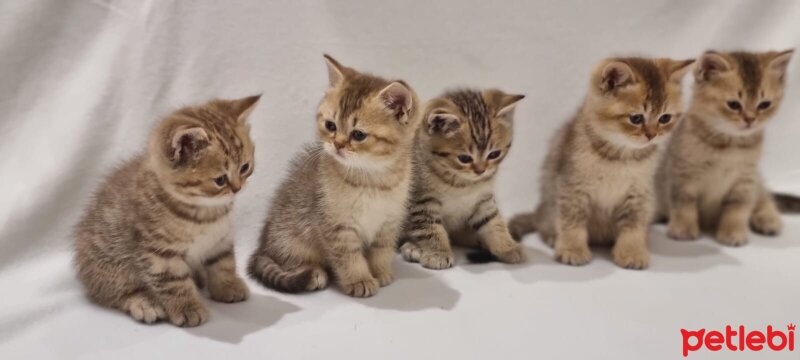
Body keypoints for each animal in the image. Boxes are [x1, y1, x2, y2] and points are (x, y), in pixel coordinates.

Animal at [74, 95, 260, 326]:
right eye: (220, 180)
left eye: (245, 167)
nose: (237, 189)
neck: (205, 211)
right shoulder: (159, 252)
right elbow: (174, 282)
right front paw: (188, 308)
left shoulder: (221, 238)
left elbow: (223, 262)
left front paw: (227, 286)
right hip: (111, 266)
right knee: (115, 292)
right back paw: (144, 303)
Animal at [248, 55, 424, 298]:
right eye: (330, 125)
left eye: (358, 135)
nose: (338, 144)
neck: (372, 178)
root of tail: (262, 245)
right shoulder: (336, 225)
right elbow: (348, 257)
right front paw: (360, 280)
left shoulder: (388, 222)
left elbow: (381, 250)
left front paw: (380, 272)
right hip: (291, 234)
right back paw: (313, 273)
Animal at [398, 88, 524, 268]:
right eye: (464, 158)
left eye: (494, 154)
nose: (481, 170)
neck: (462, 183)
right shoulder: (421, 201)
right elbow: (430, 228)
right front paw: (438, 253)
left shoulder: (483, 200)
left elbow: (493, 221)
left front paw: (507, 247)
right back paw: (413, 248)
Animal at [512, 56, 692, 268]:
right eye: (636, 118)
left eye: (665, 118)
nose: (652, 135)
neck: (620, 157)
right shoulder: (572, 187)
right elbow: (571, 222)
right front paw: (572, 249)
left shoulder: (639, 193)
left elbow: (634, 225)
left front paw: (632, 252)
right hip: (548, 204)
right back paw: (552, 237)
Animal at [660, 49, 796, 246]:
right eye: (733, 104)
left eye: (764, 105)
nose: (750, 119)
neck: (729, 145)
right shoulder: (683, 174)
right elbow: (684, 203)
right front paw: (683, 229)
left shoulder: (745, 179)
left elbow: (737, 208)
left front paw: (733, 232)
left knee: (764, 195)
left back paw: (768, 219)